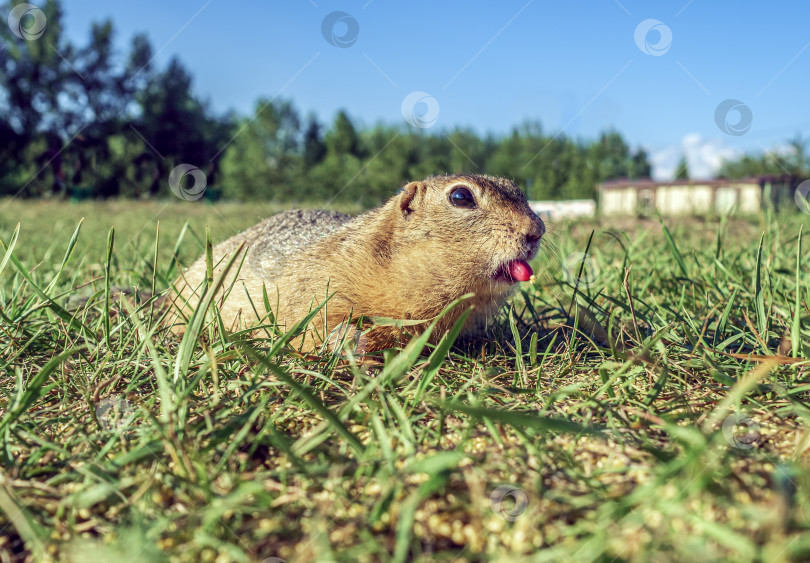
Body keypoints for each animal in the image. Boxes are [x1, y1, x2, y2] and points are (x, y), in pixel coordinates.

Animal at [172, 176, 548, 352]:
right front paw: (352, 346)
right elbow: (311, 326)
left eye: (517, 189)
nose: (537, 230)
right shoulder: (323, 283)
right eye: (460, 196)